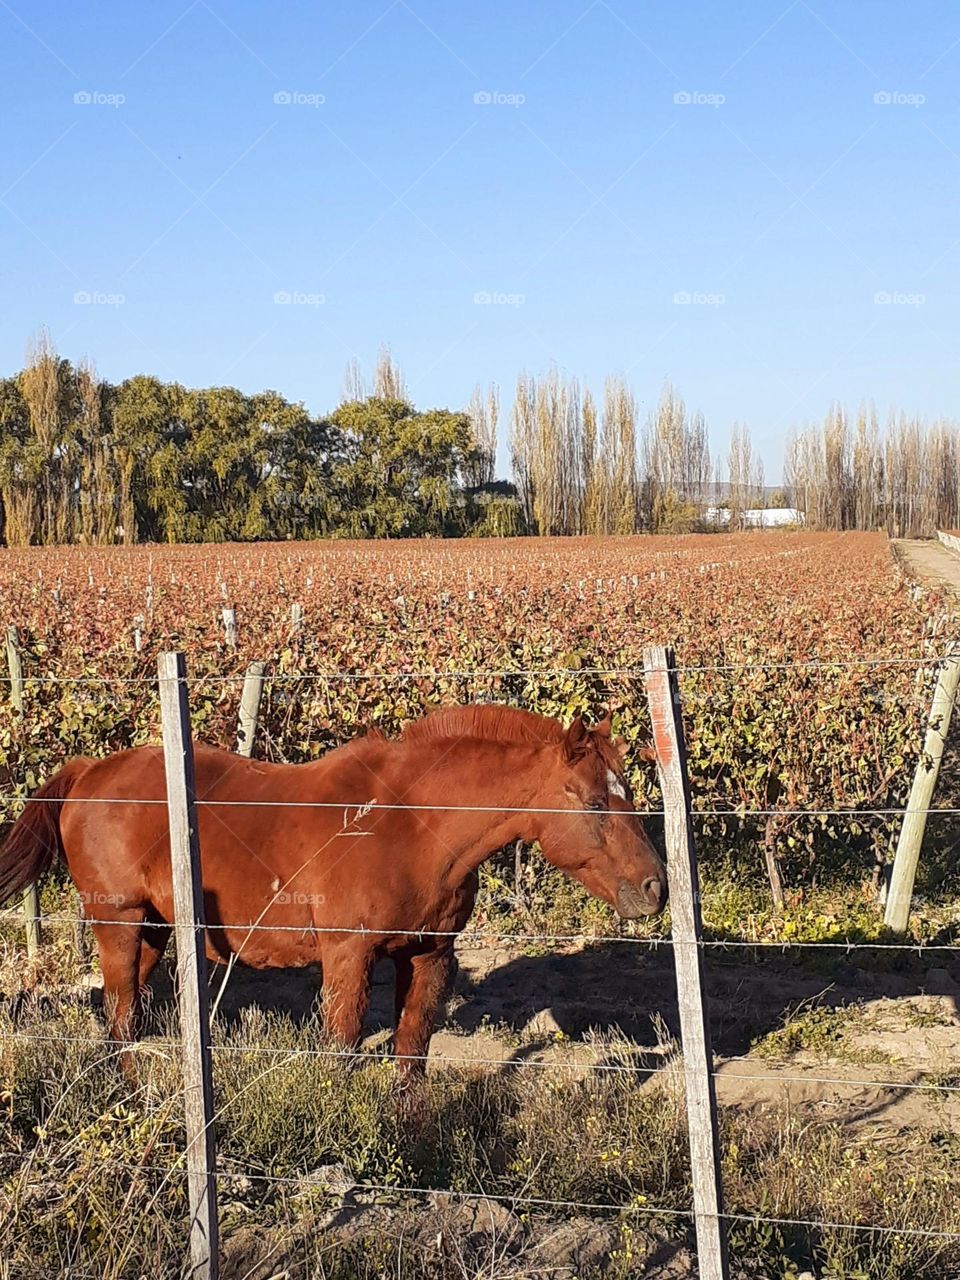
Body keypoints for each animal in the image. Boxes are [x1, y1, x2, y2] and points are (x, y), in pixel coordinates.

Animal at [0, 706, 665, 1064]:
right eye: (593, 801)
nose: (655, 887)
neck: (411, 822)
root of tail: (90, 771)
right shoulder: (348, 956)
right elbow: (341, 1050)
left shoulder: (429, 956)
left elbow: (411, 1055)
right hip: (118, 923)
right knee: (118, 1017)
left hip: (154, 930)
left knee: (128, 1018)